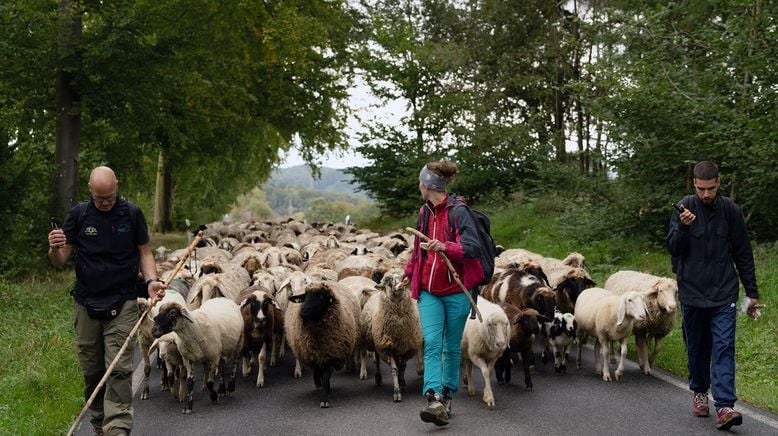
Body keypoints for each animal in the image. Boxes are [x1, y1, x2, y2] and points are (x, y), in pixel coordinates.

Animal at [356, 270, 418, 402]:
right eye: (388, 281)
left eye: (403, 277)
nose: (400, 285)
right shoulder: (387, 348)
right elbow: (394, 369)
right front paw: (397, 391)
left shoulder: (406, 347)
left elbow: (403, 367)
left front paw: (402, 383)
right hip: (375, 342)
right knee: (376, 361)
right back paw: (377, 377)